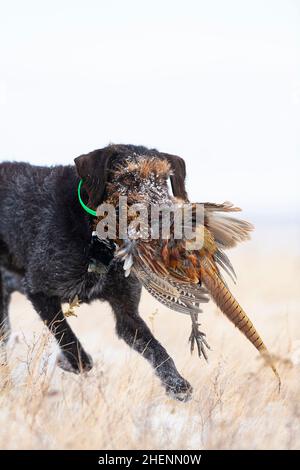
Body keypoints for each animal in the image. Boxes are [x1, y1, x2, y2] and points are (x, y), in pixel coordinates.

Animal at [0, 143, 192, 400]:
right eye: (127, 177)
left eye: (163, 179)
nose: (165, 215)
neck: (100, 243)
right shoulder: (39, 291)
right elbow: (72, 345)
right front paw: (67, 361)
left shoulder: (126, 313)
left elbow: (156, 349)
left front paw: (176, 383)